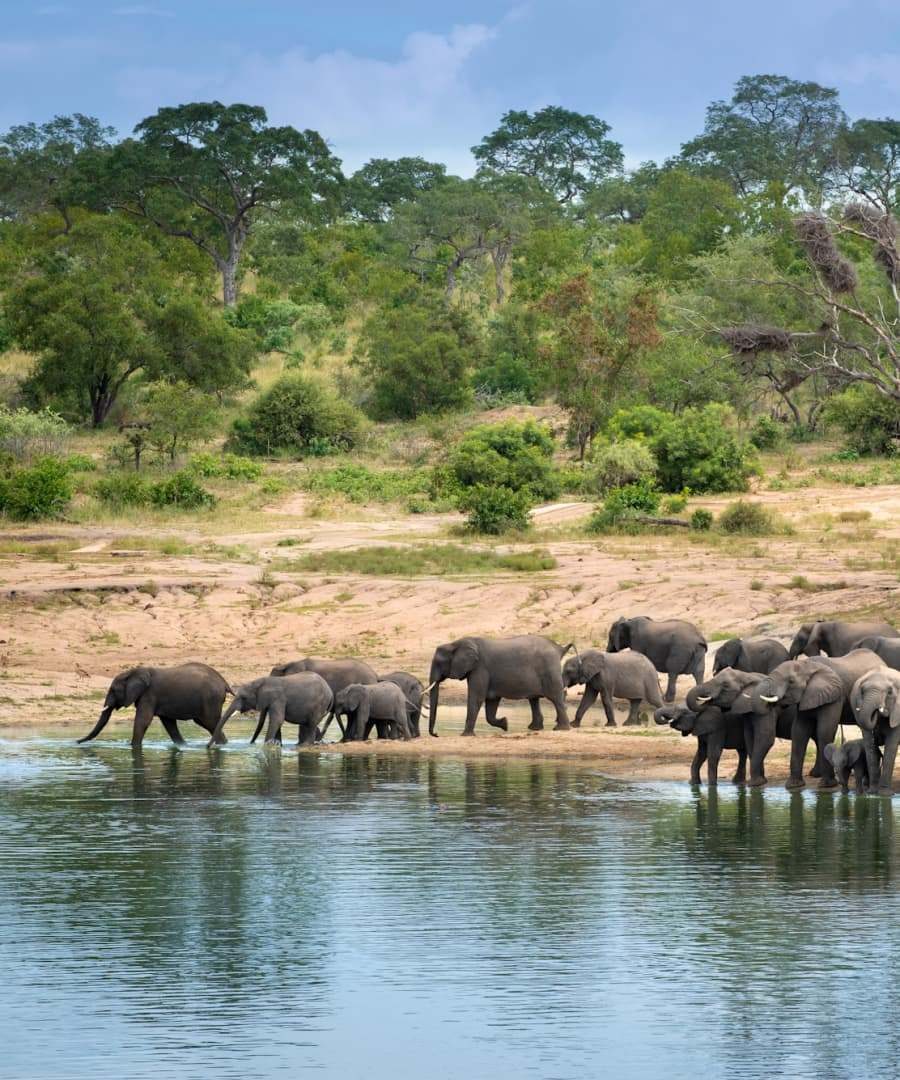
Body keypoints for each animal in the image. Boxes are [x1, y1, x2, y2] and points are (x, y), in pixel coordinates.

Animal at [77, 663, 233, 748]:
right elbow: (169, 724)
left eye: (114, 690)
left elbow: (143, 720)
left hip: (211, 699)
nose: (77, 742)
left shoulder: (149, 695)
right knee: (209, 724)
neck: (133, 671)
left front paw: (132, 747)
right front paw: (182, 746)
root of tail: (224, 682)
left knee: (211, 723)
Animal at [427, 635, 573, 736]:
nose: (436, 734)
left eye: (439, 663)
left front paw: (465, 735)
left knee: (555, 698)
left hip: (549, 670)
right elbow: (491, 702)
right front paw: (505, 724)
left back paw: (561, 729)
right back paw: (535, 728)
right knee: (534, 700)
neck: (455, 643)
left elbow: (476, 698)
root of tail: (559, 648)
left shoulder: (480, 668)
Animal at [756, 649, 885, 790]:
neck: (807, 665)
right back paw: (815, 774)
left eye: (791, 681)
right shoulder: (806, 696)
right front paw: (793, 785)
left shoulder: (835, 695)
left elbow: (825, 731)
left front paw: (826, 785)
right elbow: (799, 731)